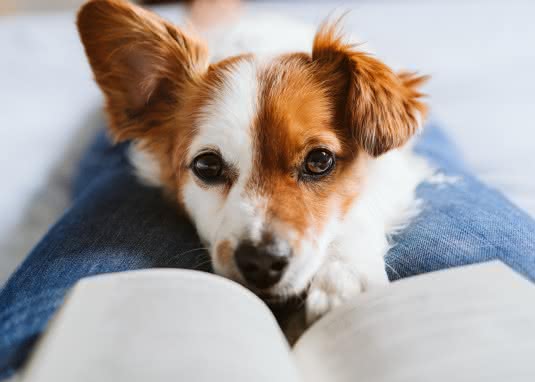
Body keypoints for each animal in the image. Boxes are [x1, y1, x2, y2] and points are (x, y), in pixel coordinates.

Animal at [78, 0, 432, 324]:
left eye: (320, 160)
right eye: (207, 167)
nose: (261, 261)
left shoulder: (397, 171)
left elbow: (359, 210)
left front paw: (344, 275)